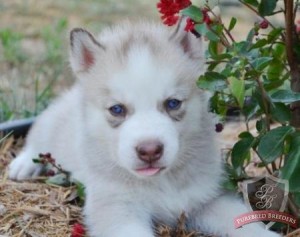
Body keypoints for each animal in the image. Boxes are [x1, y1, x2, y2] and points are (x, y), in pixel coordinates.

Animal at [9, 19, 282, 236]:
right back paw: (23, 164)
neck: (162, 182)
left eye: (172, 103)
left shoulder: (207, 197)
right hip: (52, 123)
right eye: (117, 109)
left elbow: (245, 222)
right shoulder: (117, 208)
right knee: (37, 136)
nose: (150, 150)